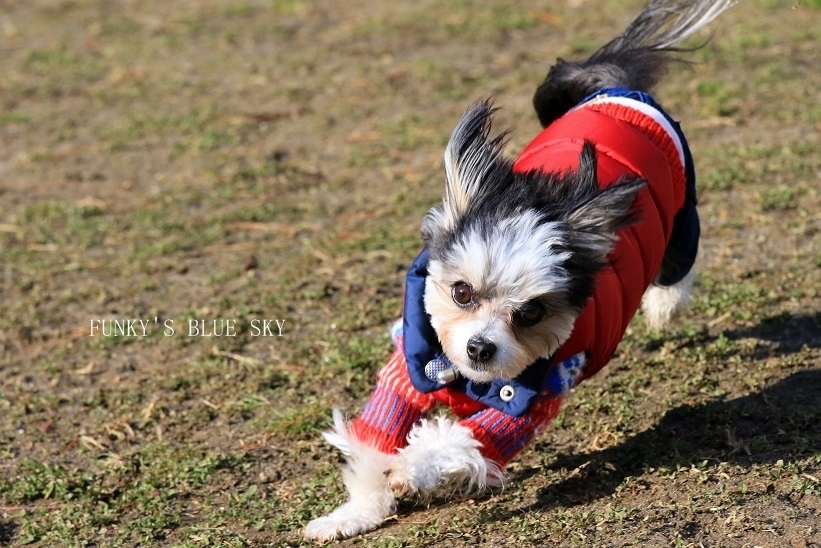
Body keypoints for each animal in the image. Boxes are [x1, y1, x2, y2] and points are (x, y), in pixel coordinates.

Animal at [304, 0, 732, 540]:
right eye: (461, 292)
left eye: (531, 313)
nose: (479, 347)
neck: (469, 377)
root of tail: (611, 89)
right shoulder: (410, 366)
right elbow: (374, 441)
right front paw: (354, 513)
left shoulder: (529, 397)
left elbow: (462, 438)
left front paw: (411, 469)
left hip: (680, 223)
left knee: (678, 269)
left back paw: (663, 305)